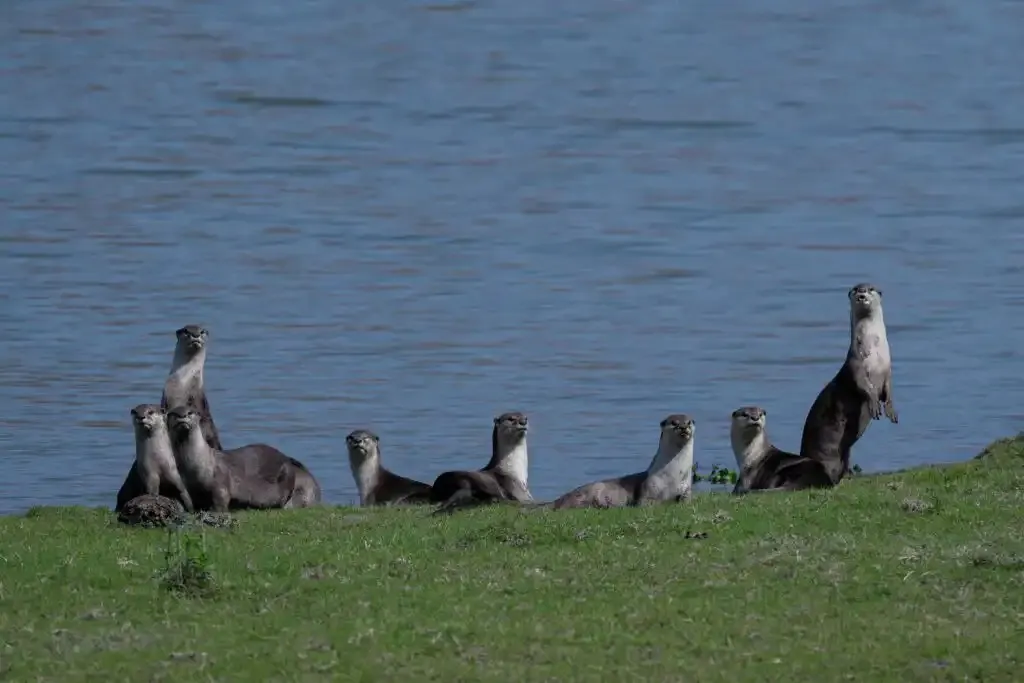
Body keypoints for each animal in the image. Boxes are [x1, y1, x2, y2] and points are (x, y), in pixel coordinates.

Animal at [166, 406, 322, 511]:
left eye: (190, 412)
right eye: (174, 413)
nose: (182, 416)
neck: (196, 464)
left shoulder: (220, 482)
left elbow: (221, 499)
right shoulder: (188, 488)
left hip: (285, 475)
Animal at [551, 414, 696, 509]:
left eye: (689, 422)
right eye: (674, 422)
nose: (683, 427)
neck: (674, 474)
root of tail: (560, 499)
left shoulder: (686, 488)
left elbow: (686, 500)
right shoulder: (648, 488)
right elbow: (645, 503)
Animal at [799, 283, 898, 484]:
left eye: (870, 288)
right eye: (855, 289)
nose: (861, 293)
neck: (875, 355)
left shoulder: (887, 370)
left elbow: (889, 390)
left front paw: (891, 409)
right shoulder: (856, 365)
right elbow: (864, 387)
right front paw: (874, 404)